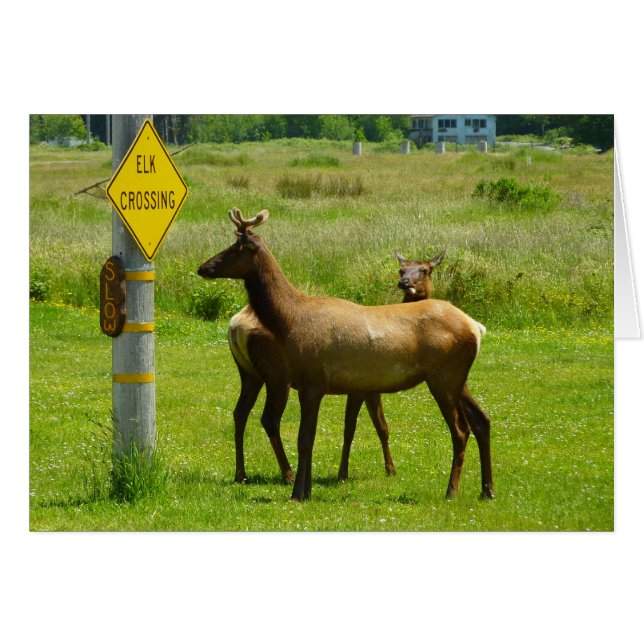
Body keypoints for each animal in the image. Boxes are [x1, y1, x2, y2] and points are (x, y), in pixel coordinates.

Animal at [226, 243, 445, 485]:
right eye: (401, 270)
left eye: (424, 270)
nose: (405, 283)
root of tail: (236, 326)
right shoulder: (361, 387)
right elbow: (355, 427)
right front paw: (350, 473)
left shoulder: (370, 386)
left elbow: (380, 426)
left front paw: (387, 469)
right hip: (277, 375)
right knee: (269, 419)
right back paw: (287, 474)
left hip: (250, 373)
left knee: (240, 412)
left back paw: (240, 474)